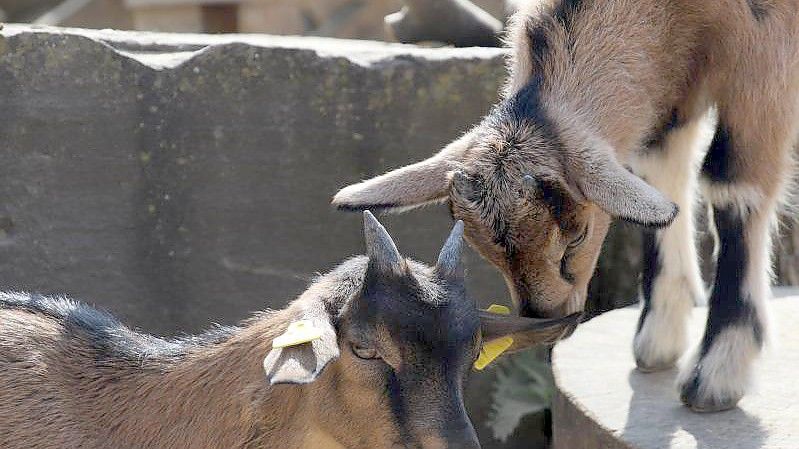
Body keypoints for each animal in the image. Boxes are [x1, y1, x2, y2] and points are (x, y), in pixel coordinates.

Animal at [332, 0, 799, 412]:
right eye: (485, 250)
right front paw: (660, 336)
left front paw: (717, 372)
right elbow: (660, 176)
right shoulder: (672, 79)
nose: (550, 321)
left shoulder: (766, 48)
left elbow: (732, 185)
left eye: (577, 236)